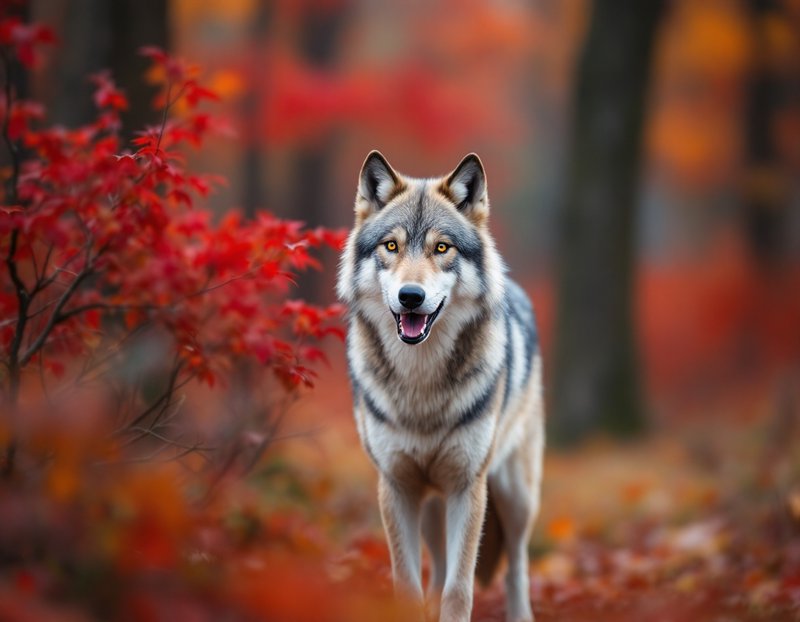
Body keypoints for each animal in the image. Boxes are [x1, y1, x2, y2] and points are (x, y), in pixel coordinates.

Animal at [337, 151, 544, 622]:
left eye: (442, 248)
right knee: (439, 566)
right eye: (391, 246)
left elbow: (460, 590)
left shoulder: (469, 486)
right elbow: (409, 585)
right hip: (433, 505)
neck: (421, 384)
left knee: (516, 565)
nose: (411, 296)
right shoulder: (396, 487)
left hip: (514, 495)